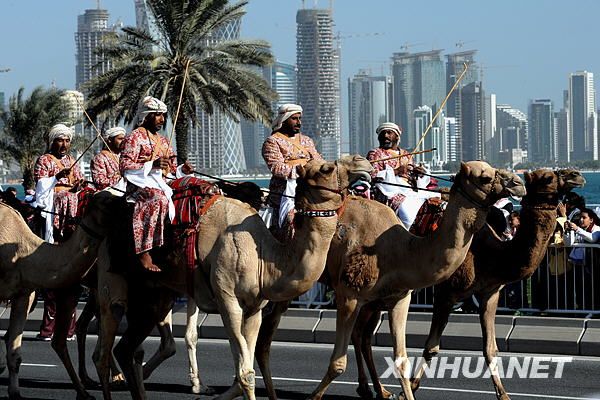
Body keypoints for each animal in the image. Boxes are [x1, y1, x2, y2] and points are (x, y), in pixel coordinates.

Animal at [89, 155, 372, 398]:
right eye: (326, 168)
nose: (364, 163)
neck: (262, 258)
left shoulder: (254, 308)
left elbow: (245, 369)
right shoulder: (228, 300)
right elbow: (245, 373)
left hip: (154, 296)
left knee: (126, 349)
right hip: (111, 285)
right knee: (104, 351)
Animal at [255, 161, 528, 400]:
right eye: (484, 177)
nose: (518, 184)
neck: (398, 251)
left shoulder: (399, 297)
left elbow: (401, 360)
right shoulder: (349, 295)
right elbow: (338, 363)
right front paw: (314, 396)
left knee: (357, 336)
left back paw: (375, 390)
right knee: (266, 337)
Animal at [404, 169, 584, 400]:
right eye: (547, 178)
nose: (577, 175)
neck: (490, 255)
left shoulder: (490, 293)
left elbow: (490, 348)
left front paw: (504, 394)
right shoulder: (446, 293)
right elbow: (431, 348)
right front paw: (409, 389)